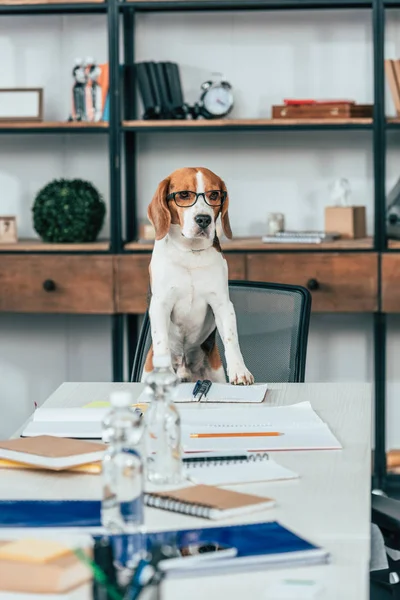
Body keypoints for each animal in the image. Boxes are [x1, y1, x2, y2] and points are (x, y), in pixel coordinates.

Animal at [143, 166, 253, 386]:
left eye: (214, 195)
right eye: (185, 194)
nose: (204, 219)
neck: (189, 252)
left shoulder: (222, 303)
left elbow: (231, 338)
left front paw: (240, 370)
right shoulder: (160, 303)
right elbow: (161, 341)